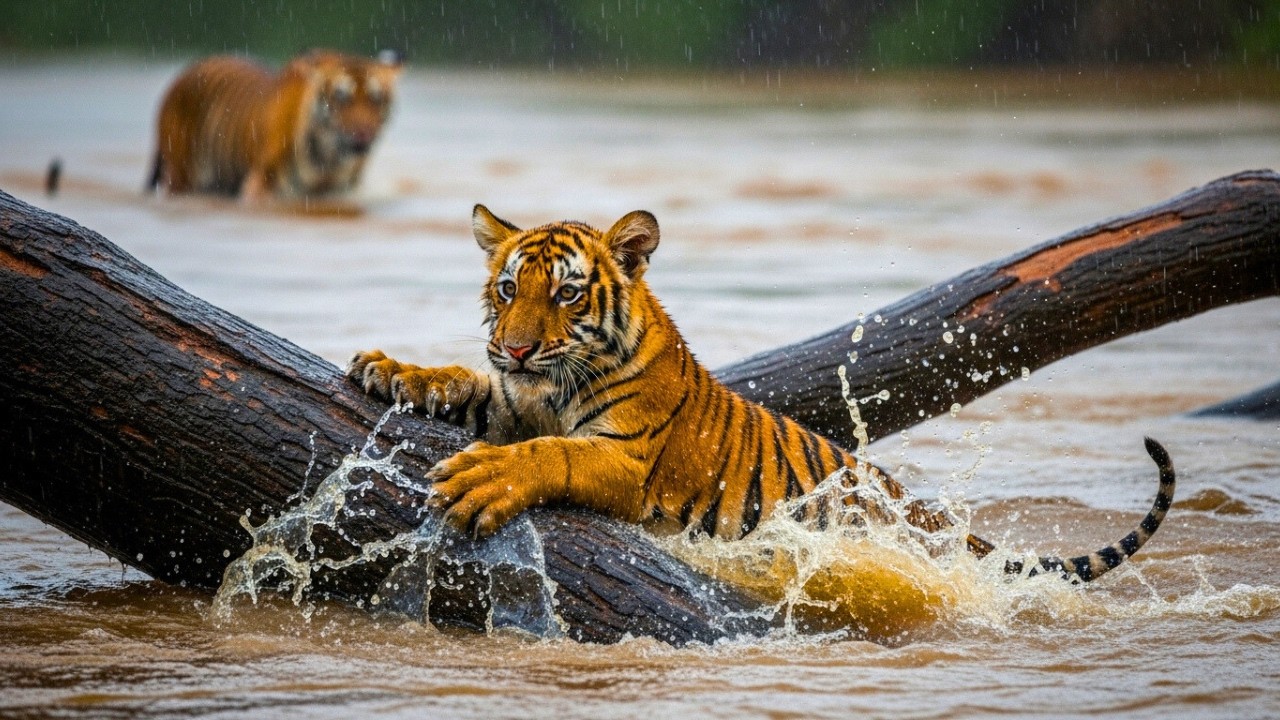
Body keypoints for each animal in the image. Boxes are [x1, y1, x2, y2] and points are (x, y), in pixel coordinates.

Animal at [147, 49, 402, 202]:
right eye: (342, 97)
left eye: (376, 99)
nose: (364, 132)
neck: (329, 160)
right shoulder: (261, 186)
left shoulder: (342, 192)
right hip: (181, 176)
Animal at [347, 205, 1176, 582]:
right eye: (508, 289)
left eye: (567, 295)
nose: (517, 347)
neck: (550, 385)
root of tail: (924, 510)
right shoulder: (512, 398)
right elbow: (469, 384)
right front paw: (394, 369)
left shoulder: (624, 459)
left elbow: (554, 454)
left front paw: (486, 478)